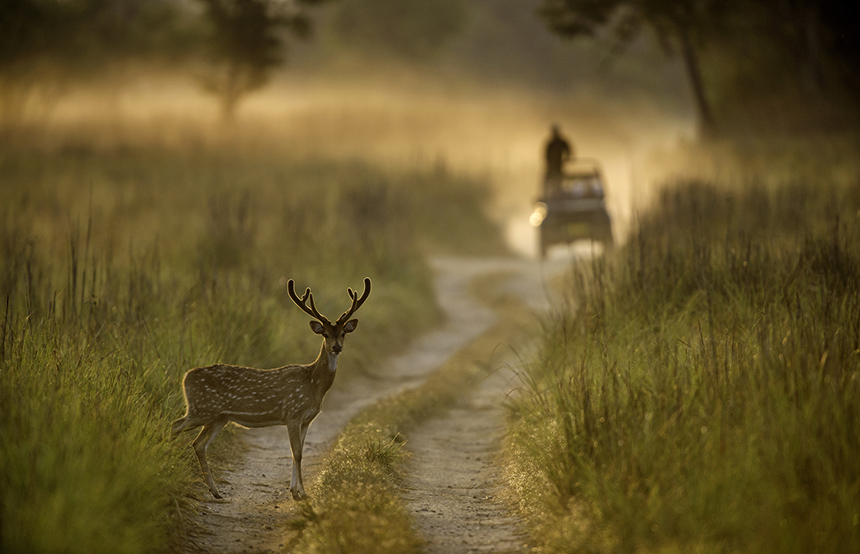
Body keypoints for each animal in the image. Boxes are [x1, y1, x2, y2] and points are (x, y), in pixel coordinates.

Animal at [171, 278, 370, 498]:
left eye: (343, 333)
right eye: (325, 334)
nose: (336, 347)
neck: (313, 385)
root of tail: (186, 377)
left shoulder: (306, 420)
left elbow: (299, 452)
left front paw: (295, 489)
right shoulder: (292, 413)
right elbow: (297, 453)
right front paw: (301, 493)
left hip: (219, 417)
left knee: (198, 444)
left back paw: (215, 491)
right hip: (202, 408)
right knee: (175, 425)